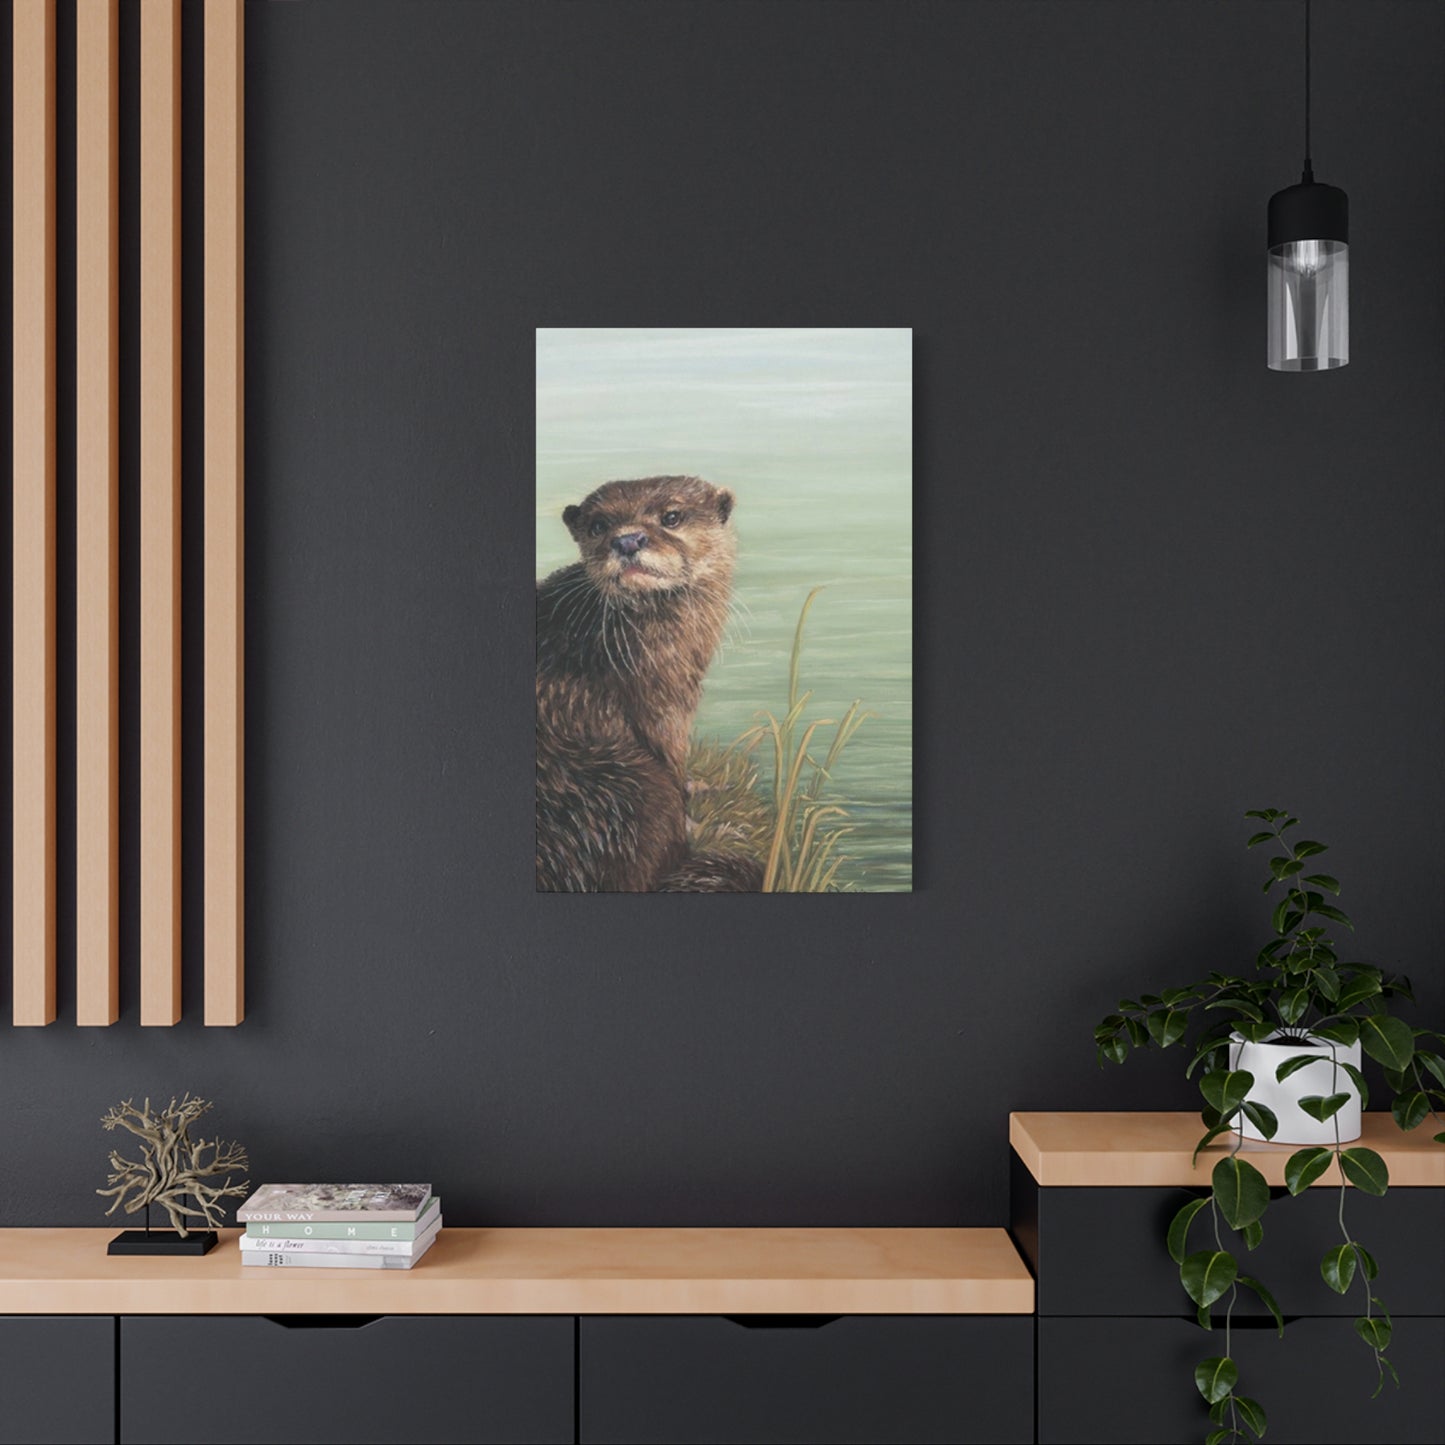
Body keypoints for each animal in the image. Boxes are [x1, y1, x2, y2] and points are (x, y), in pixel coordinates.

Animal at [536, 475, 761, 892]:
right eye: (598, 525)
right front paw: (701, 822)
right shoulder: (660, 700)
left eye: (671, 517)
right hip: (634, 788)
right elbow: (669, 758)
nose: (627, 540)